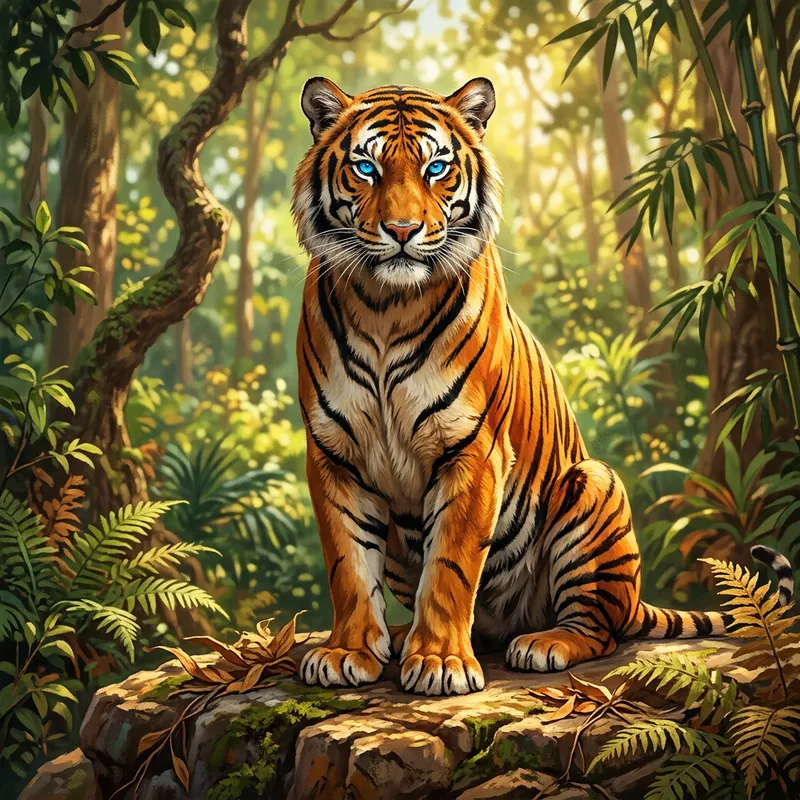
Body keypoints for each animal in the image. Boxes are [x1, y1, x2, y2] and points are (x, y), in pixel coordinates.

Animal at [291, 76, 795, 696]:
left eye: (436, 168)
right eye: (366, 167)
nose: (403, 231)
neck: (387, 303)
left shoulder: (473, 450)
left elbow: (450, 567)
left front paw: (439, 663)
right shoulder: (333, 453)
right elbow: (346, 564)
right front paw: (349, 653)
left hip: (594, 487)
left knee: (600, 629)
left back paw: (543, 643)